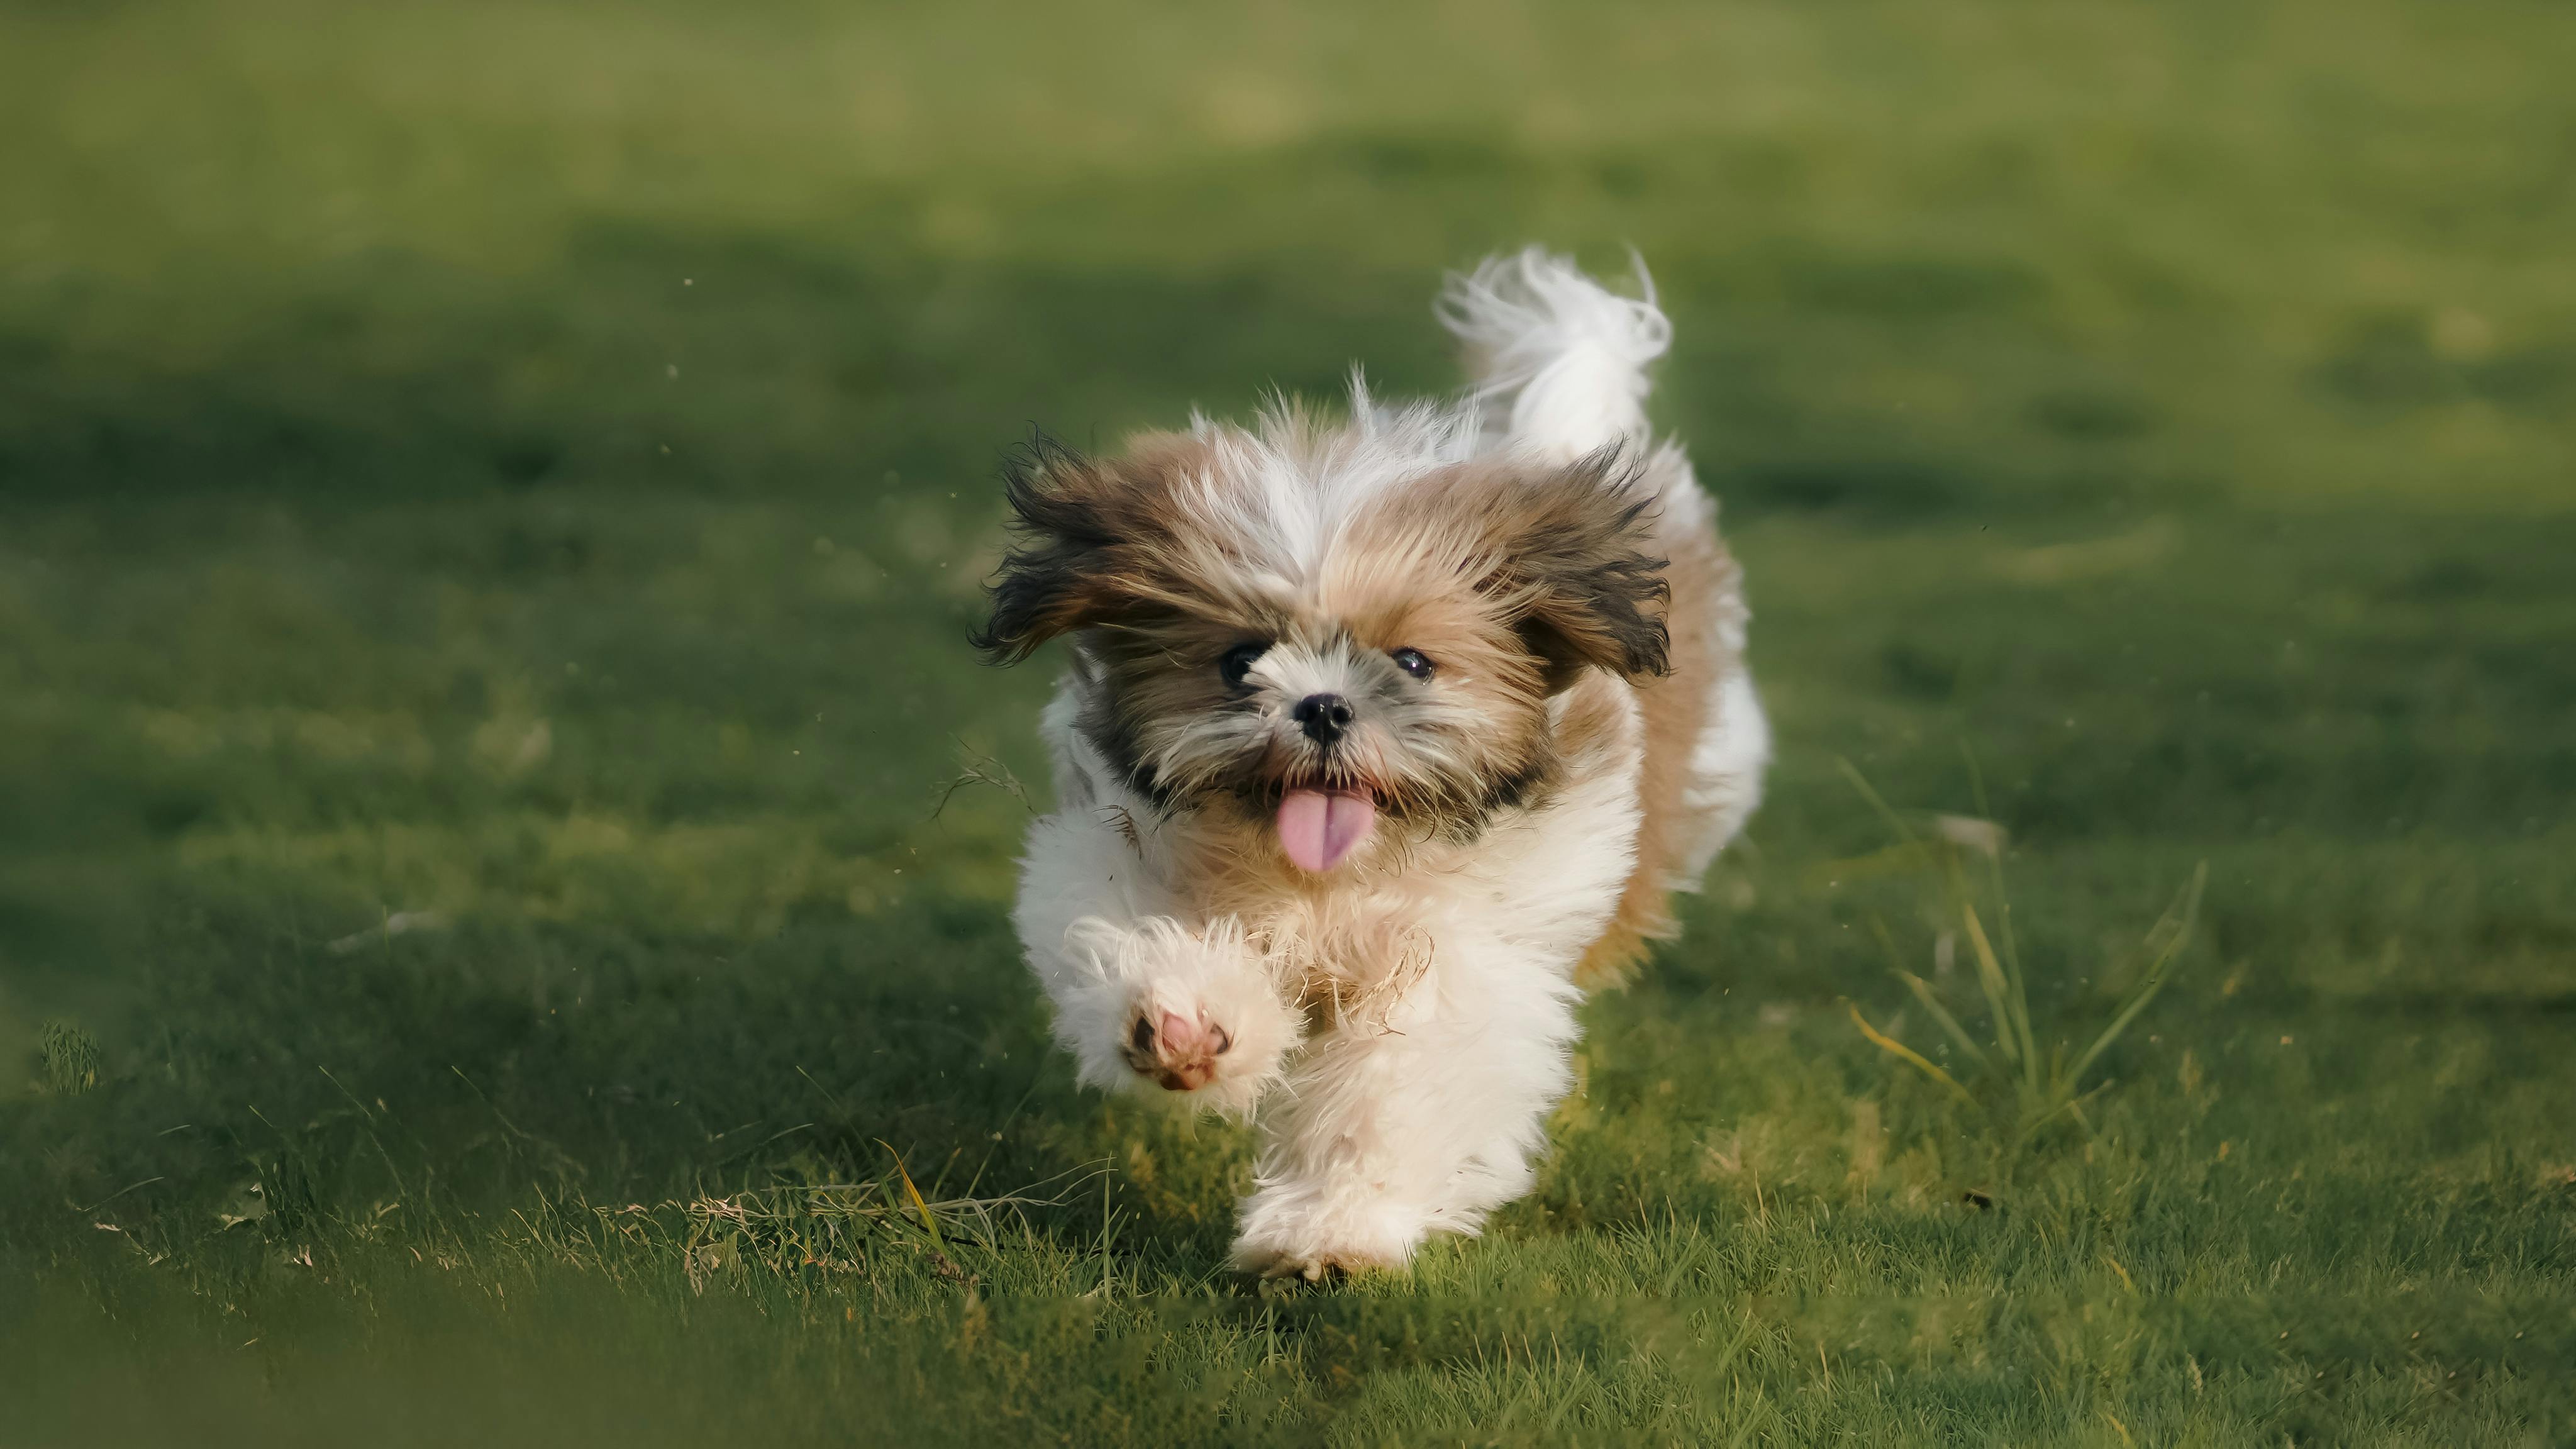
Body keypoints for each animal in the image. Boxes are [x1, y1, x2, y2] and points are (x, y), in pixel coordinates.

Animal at [969, 247, 1772, 1274]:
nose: (1322, 705)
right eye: (1240, 660)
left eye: (1414, 662)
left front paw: (1331, 1227)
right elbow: (1143, 934)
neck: (1326, 882)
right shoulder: (1115, 844)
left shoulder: (1462, 956)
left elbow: (1389, 1089)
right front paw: (1188, 1023)